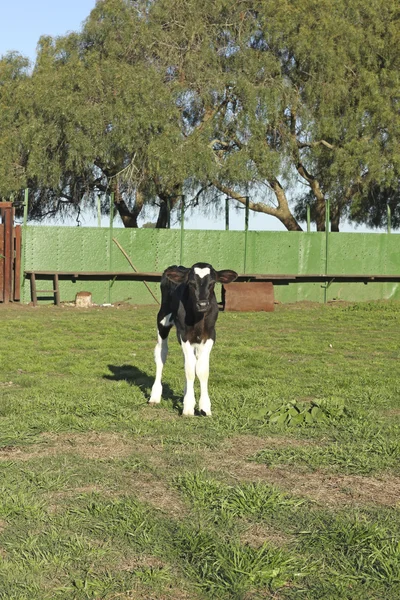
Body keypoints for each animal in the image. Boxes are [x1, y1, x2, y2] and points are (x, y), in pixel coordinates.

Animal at [149, 262, 238, 418]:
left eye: (212, 283)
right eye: (191, 283)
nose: (202, 304)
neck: (198, 318)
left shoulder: (210, 335)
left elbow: (201, 369)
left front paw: (204, 406)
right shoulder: (185, 335)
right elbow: (190, 369)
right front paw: (189, 407)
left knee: (188, 360)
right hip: (162, 320)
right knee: (161, 354)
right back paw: (155, 395)